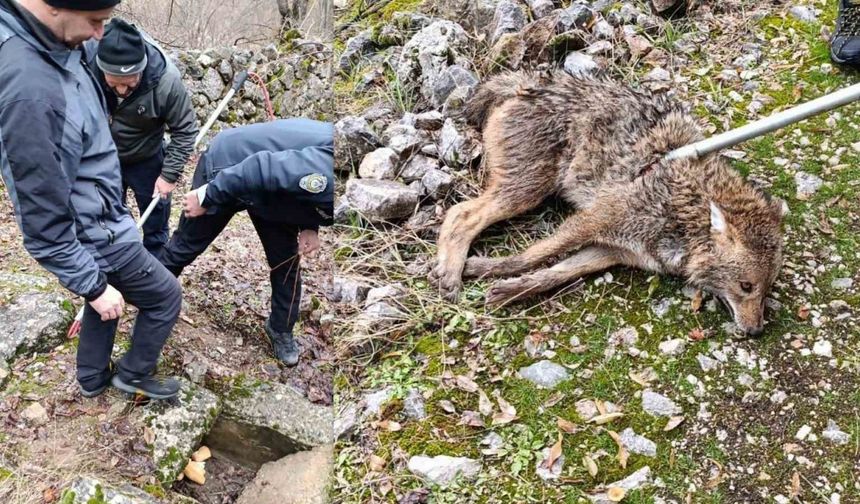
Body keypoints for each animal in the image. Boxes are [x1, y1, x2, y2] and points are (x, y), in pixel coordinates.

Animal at [430, 71, 788, 336]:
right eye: (746, 286)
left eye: (767, 290)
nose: (757, 331)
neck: (684, 208)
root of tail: (527, 84)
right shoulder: (591, 220)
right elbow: (534, 255)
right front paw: (491, 272)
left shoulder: (611, 252)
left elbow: (555, 273)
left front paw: (507, 287)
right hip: (526, 192)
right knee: (459, 214)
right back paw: (450, 274)